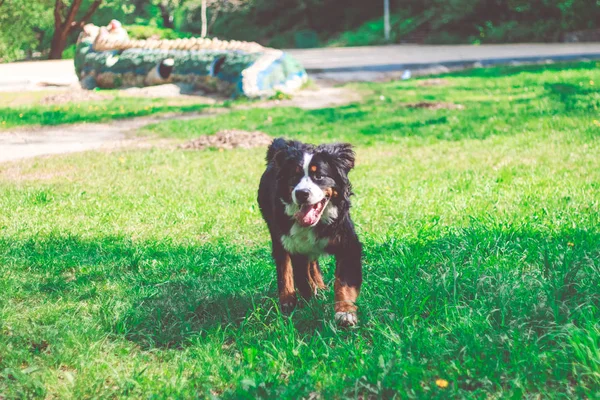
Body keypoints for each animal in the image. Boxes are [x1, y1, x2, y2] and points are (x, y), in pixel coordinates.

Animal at [256, 138, 364, 324]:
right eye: (294, 175)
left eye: (318, 176)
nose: (302, 193)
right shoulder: (295, 245)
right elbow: (302, 279)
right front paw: (311, 303)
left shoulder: (347, 243)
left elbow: (343, 282)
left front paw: (345, 313)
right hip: (278, 232)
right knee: (284, 265)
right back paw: (288, 299)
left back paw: (320, 287)